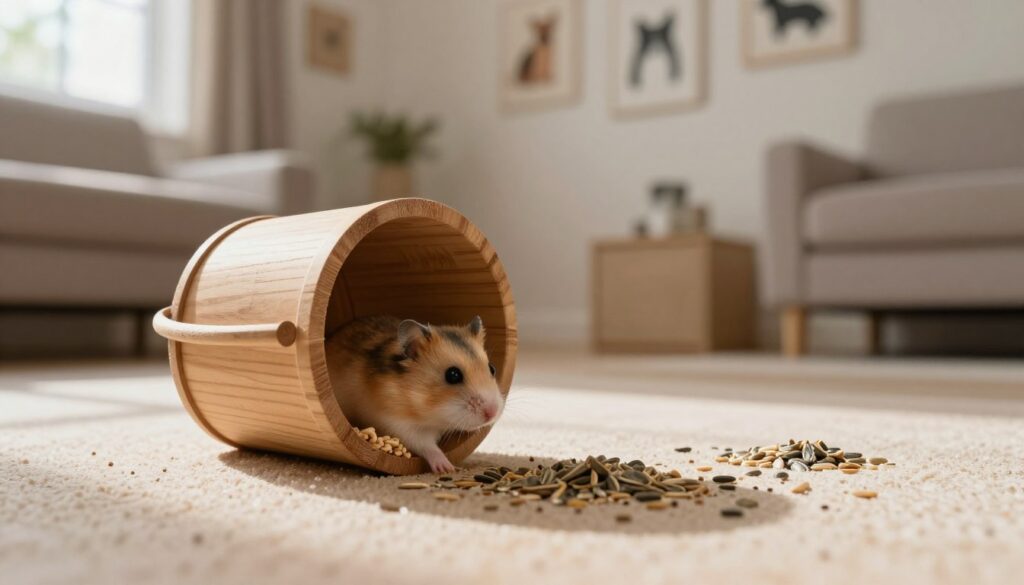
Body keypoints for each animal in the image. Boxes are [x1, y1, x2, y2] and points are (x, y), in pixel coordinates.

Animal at [325, 315, 504, 473]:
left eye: (492, 368)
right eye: (453, 375)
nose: (492, 413)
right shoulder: (397, 425)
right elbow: (427, 445)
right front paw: (447, 468)